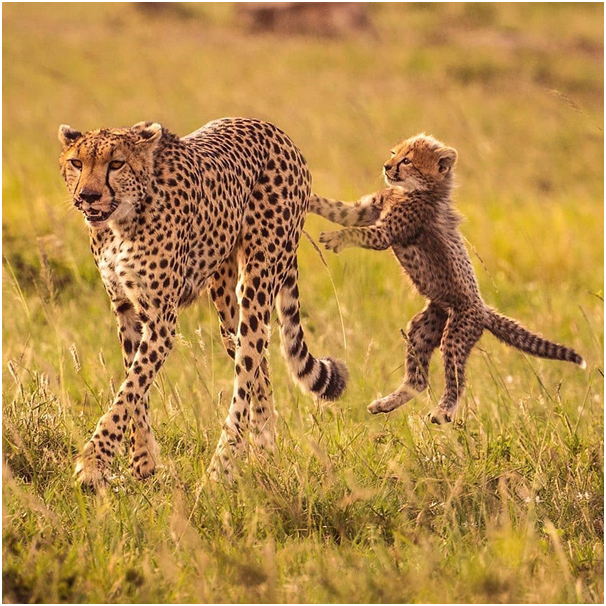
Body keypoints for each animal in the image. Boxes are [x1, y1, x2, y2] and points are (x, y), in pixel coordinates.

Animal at [60, 117, 352, 490]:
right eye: (76, 163)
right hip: (225, 301)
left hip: (257, 282)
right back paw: (265, 453)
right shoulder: (126, 309)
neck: (122, 221)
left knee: (248, 367)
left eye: (116, 163)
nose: (88, 195)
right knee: (260, 366)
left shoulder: (162, 320)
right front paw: (142, 462)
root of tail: (273, 130)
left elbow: (130, 388)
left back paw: (220, 469)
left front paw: (94, 461)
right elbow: (134, 386)